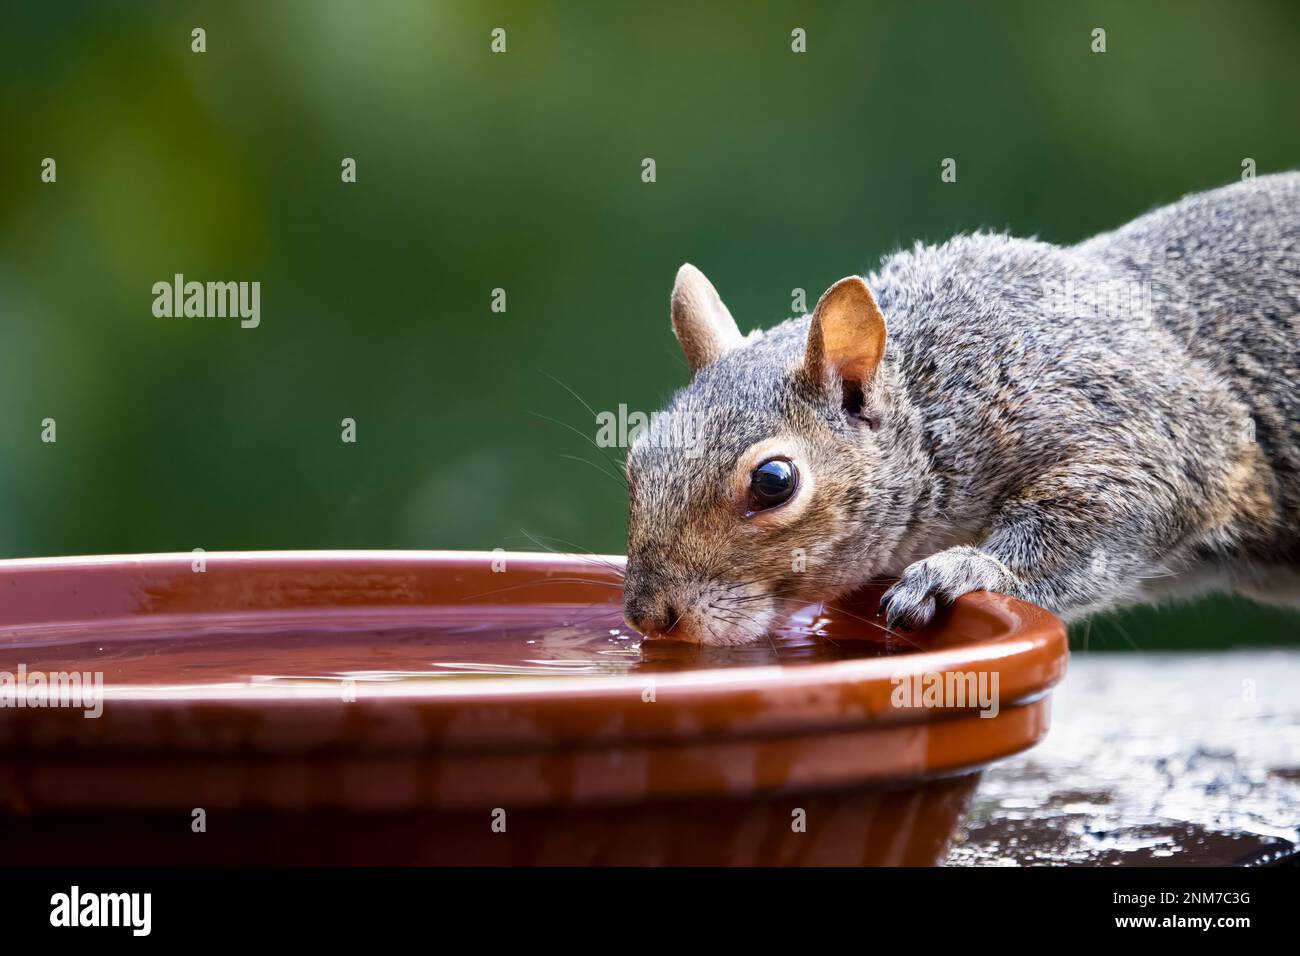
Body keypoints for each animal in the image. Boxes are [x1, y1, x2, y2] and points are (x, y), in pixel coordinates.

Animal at [618, 175, 1300, 647]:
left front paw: (964, 570)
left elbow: (1127, 502)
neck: (938, 398)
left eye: (773, 482)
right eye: (636, 460)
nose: (651, 617)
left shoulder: (1139, 421)